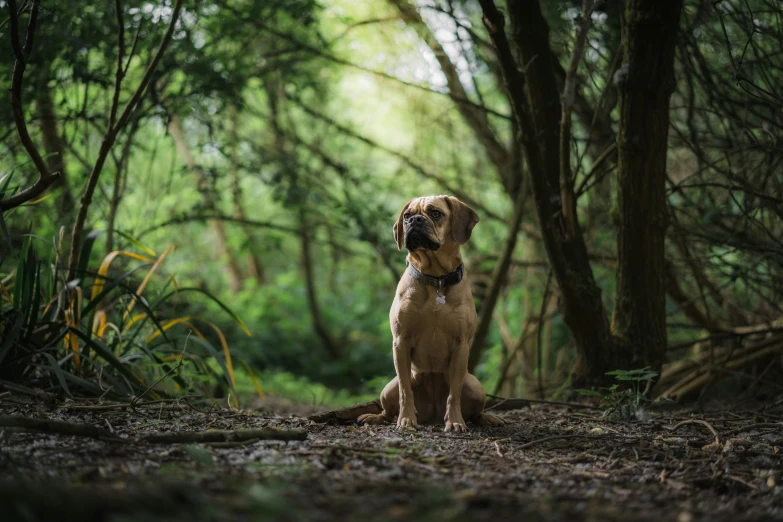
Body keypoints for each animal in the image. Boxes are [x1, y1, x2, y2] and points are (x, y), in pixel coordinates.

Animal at [360, 195, 502, 430]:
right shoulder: (401, 341)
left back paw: (486, 418)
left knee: (475, 411)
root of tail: (432, 415)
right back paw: (375, 417)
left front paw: (455, 421)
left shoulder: (461, 345)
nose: (414, 221)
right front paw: (406, 419)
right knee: (389, 409)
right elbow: (405, 391)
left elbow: (454, 393)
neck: (436, 279)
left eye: (435, 213)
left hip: (475, 385)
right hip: (388, 388)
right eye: (407, 215)